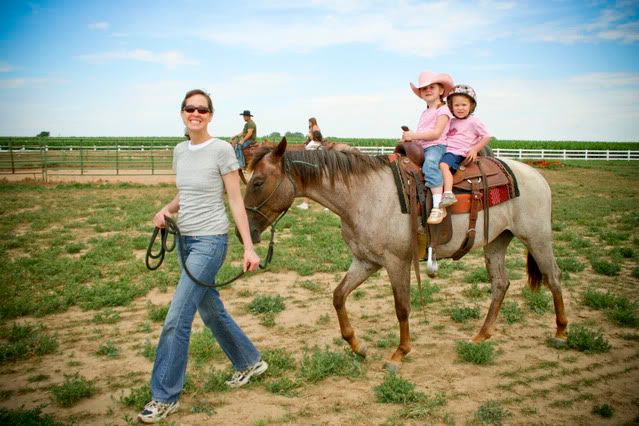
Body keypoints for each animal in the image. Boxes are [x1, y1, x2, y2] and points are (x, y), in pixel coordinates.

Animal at [242, 138, 567, 370]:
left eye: (258, 182)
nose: (246, 232)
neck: (364, 195)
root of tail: (535, 174)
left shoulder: (396, 262)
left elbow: (402, 307)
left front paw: (400, 353)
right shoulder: (366, 261)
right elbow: (338, 296)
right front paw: (357, 346)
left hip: (537, 238)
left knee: (553, 278)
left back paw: (561, 332)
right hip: (496, 242)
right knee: (501, 284)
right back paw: (481, 335)